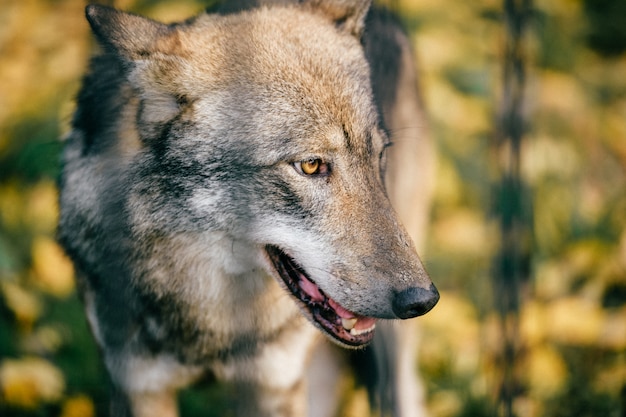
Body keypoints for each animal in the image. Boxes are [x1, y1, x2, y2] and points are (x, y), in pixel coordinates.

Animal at [59, 1, 438, 414]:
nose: (422, 299)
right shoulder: (139, 388)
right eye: (310, 165)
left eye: (378, 156)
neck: (213, 323)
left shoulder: (273, 386)